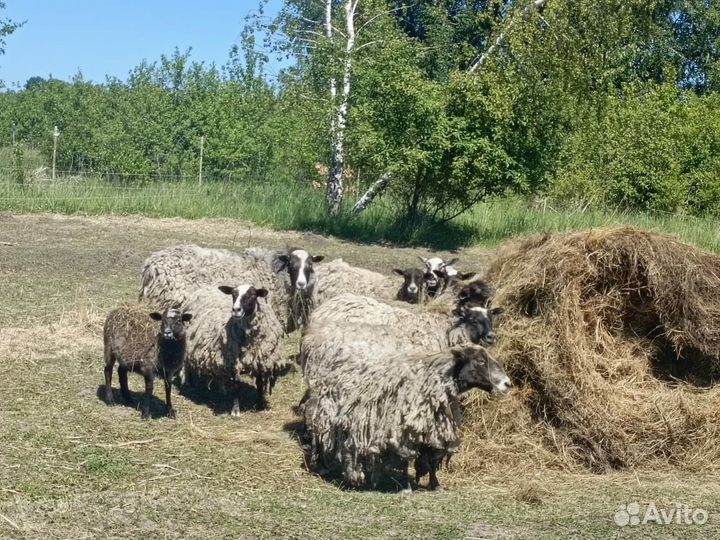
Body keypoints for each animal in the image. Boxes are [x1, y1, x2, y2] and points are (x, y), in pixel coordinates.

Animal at [181, 283, 288, 412]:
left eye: (252, 295)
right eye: (233, 294)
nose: (236, 310)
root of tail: (203, 288)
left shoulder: (260, 359)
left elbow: (259, 383)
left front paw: (260, 406)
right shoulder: (232, 360)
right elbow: (236, 385)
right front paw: (236, 410)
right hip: (189, 342)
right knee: (187, 362)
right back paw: (189, 382)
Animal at [302, 342, 511, 491]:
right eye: (480, 361)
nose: (507, 383)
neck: (432, 382)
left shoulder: (431, 430)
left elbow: (431, 459)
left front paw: (436, 485)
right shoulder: (401, 431)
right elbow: (405, 459)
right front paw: (406, 487)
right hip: (324, 414)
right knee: (318, 437)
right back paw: (321, 466)